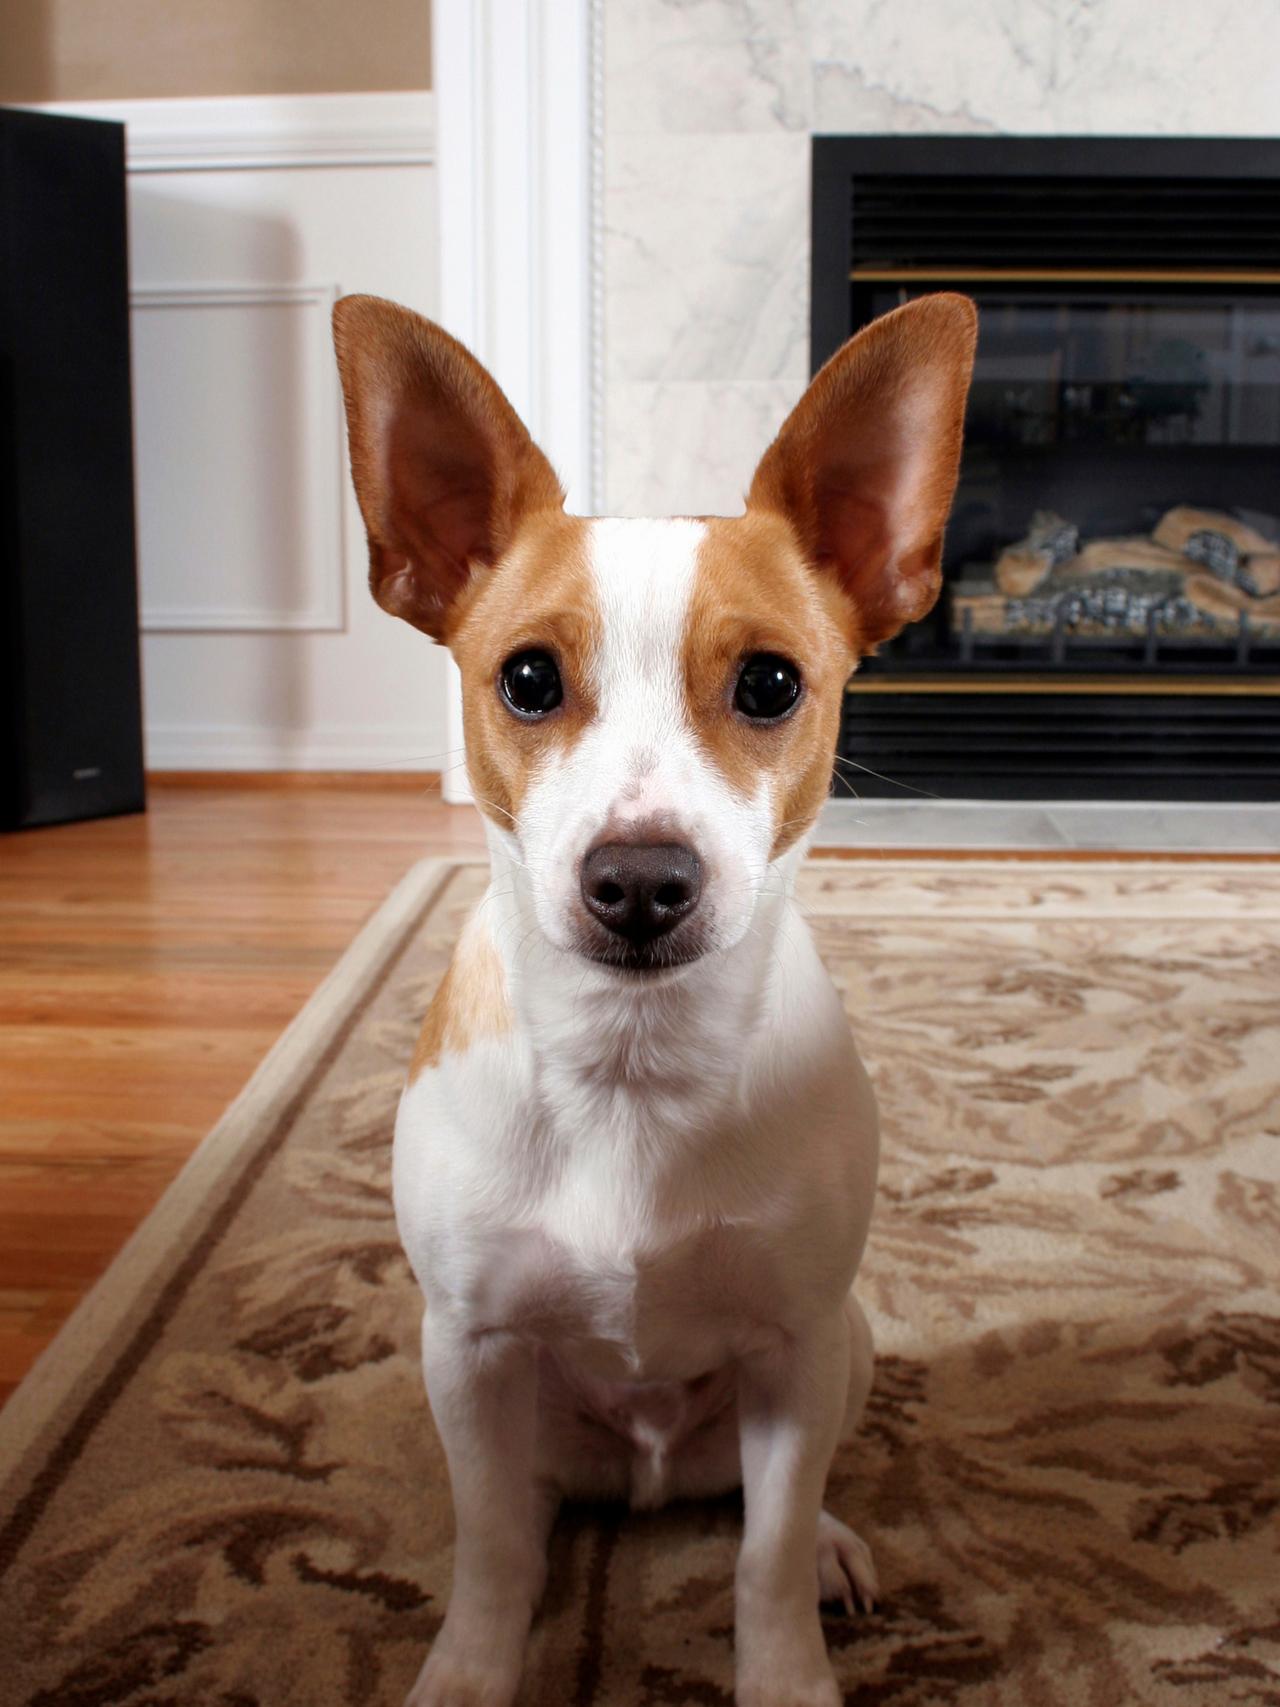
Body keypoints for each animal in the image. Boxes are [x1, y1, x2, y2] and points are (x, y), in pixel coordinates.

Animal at [336, 293, 976, 1707]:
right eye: (526, 679)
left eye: (770, 685)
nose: (638, 882)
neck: (630, 1069)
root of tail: (642, 1479)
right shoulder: (466, 1349)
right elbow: (488, 1554)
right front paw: (471, 1667)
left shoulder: (793, 1351)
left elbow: (763, 1561)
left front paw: (785, 1668)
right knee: (527, 1518)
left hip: (841, 1347)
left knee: (766, 1506)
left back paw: (834, 1542)